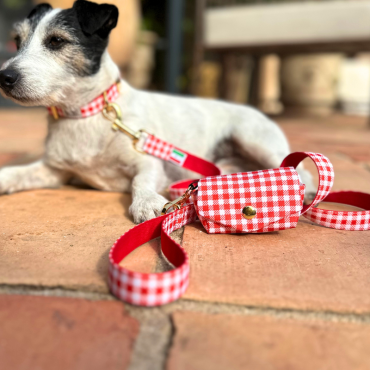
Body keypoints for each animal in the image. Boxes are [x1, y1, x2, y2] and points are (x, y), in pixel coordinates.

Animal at [0, 0, 316, 223]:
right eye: (17, 41)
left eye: (56, 41)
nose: (4, 77)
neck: (85, 114)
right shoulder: (55, 172)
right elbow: (17, 173)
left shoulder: (148, 161)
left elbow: (140, 180)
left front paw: (146, 202)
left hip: (254, 140)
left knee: (300, 170)